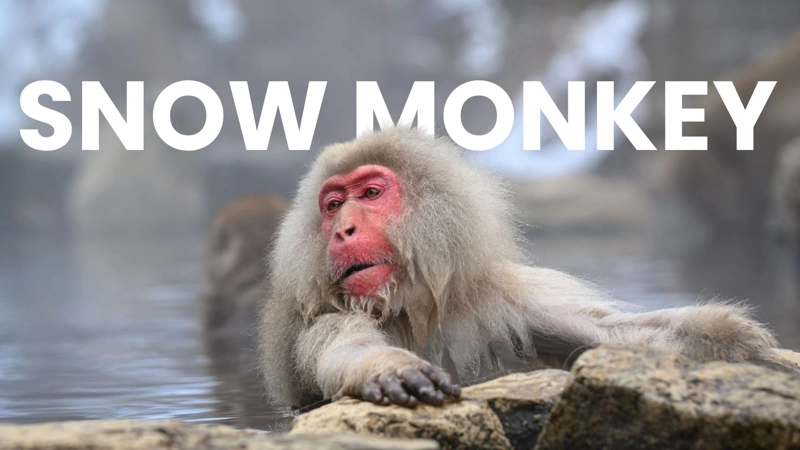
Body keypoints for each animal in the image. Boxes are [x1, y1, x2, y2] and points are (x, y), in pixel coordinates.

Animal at [259, 128, 798, 409]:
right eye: (333, 205)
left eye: (370, 193)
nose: (343, 230)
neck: (411, 311)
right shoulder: (322, 320)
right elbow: (344, 350)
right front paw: (389, 366)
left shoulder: (500, 298)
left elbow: (615, 337)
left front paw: (745, 347)